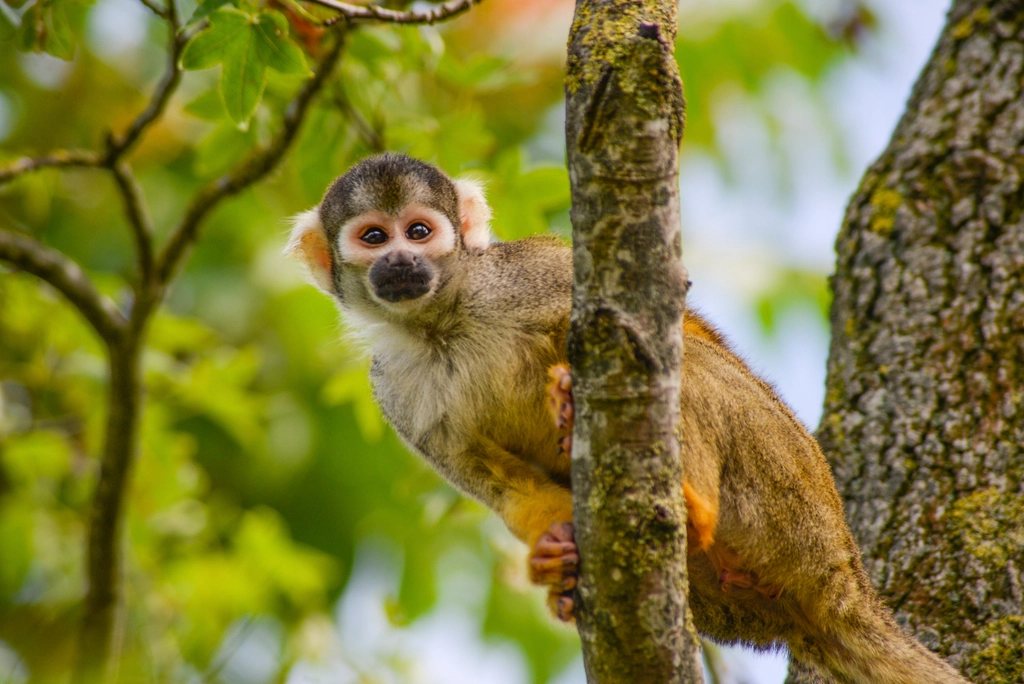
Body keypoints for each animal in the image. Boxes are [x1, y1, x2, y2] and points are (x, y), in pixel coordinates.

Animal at [286, 152, 970, 684]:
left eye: (420, 230)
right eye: (375, 238)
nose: (401, 262)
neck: (442, 321)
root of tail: (848, 584)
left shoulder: (523, 273)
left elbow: (671, 319)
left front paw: (568, 390)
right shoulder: (394, 390)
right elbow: (489, 479)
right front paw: (551, 549)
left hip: (792, 498)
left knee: (692, 361)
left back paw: (689, 499)